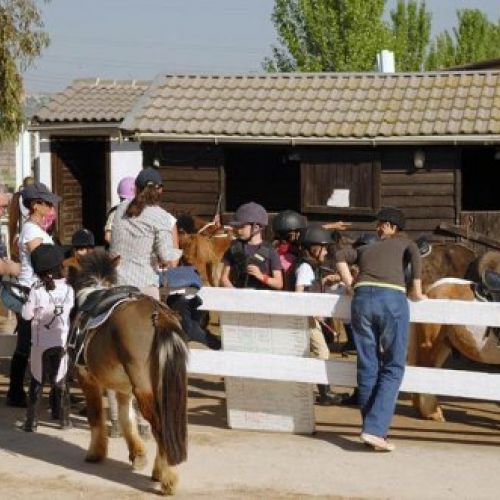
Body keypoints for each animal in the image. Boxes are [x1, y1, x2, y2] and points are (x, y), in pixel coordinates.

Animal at [69, 252, 188, 494]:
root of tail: (158, 314)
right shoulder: (124, 388)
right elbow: (126, 418)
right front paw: (137, 454)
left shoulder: (86, 379)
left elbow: (96, 416)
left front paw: (96, 452)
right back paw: (160, 470)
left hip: (144, 388)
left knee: (161, 428)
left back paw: (167, 477)